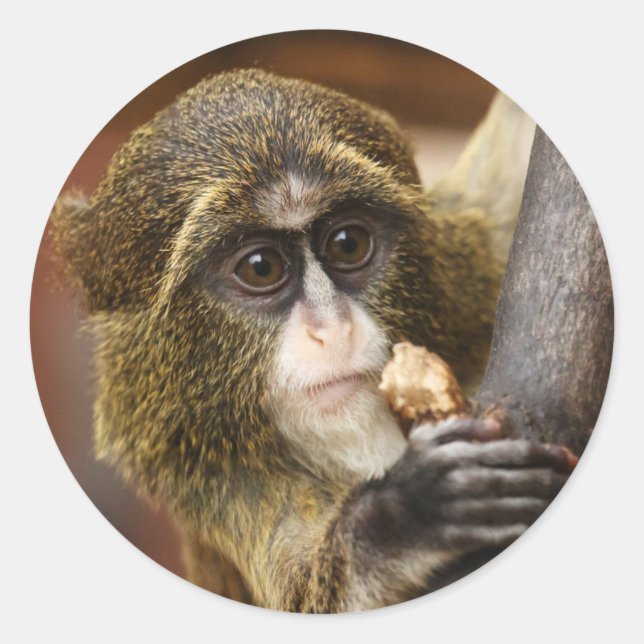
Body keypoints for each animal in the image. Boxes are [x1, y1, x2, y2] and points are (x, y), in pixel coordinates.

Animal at [51, 69, 575, 612]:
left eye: (348, 243)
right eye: (261, 267)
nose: (332, 330)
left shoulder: (469, 262)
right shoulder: (216, 482)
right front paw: (406, 513)